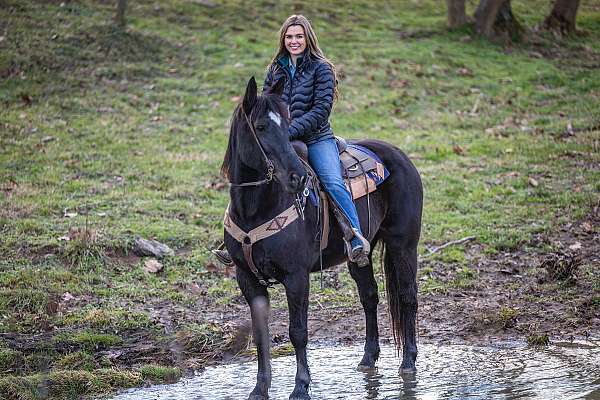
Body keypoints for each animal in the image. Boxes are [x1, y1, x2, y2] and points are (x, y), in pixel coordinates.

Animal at [220, 76, 422, 400]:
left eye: (287, 124)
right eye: (261, 126)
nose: (298, 177)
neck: (255, 209)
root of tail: (400, 155)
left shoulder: (297, 276)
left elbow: (298, 332)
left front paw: (301, 386)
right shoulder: (247, 279)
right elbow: (261, 335)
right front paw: (260, 388)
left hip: (403, 245)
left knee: (407, 296)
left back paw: (408, 363)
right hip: (360, 254)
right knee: (369, 296)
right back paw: (368, 358)